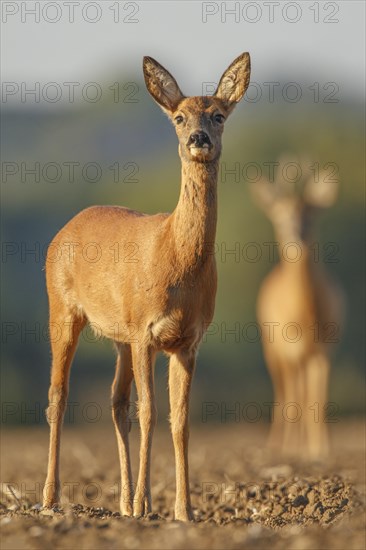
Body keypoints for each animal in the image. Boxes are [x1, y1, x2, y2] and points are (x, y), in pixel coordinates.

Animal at [43, 51, 252, 520]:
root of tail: (64, 229)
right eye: (178, 117)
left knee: (116, 402)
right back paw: (50, 500)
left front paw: (183, 511)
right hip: (63, 310)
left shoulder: (186, 342)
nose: (197, 138)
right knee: (58, 395)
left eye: (218, 114)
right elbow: (151, 414)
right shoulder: (144, 331)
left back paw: (124, 503)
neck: (175, 258)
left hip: (118, 336)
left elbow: (180, 420)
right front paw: (149, 507)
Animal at [250, 160, 344, 462]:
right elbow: (298, 397)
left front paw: (321, 449)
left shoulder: (325, 349)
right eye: (279, 217)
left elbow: (318, 398)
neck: (306, 313)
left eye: (311, 215)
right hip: (273, 350)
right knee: (285, 391)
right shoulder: (293, 350)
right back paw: (278, 444)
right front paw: (298, 448)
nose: (296, 234)